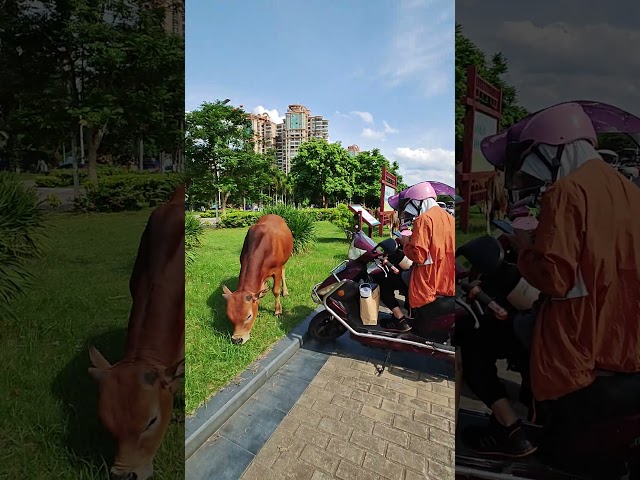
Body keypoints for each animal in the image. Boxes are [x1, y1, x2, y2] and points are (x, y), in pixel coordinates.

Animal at [224, 215, 294, 344]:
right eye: (229, 316)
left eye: (249, 316)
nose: (237, 339)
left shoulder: (276, 269)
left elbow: (275, 291)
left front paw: (278, 311)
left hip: (285, 260)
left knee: (283, 272)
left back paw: (285, 291)